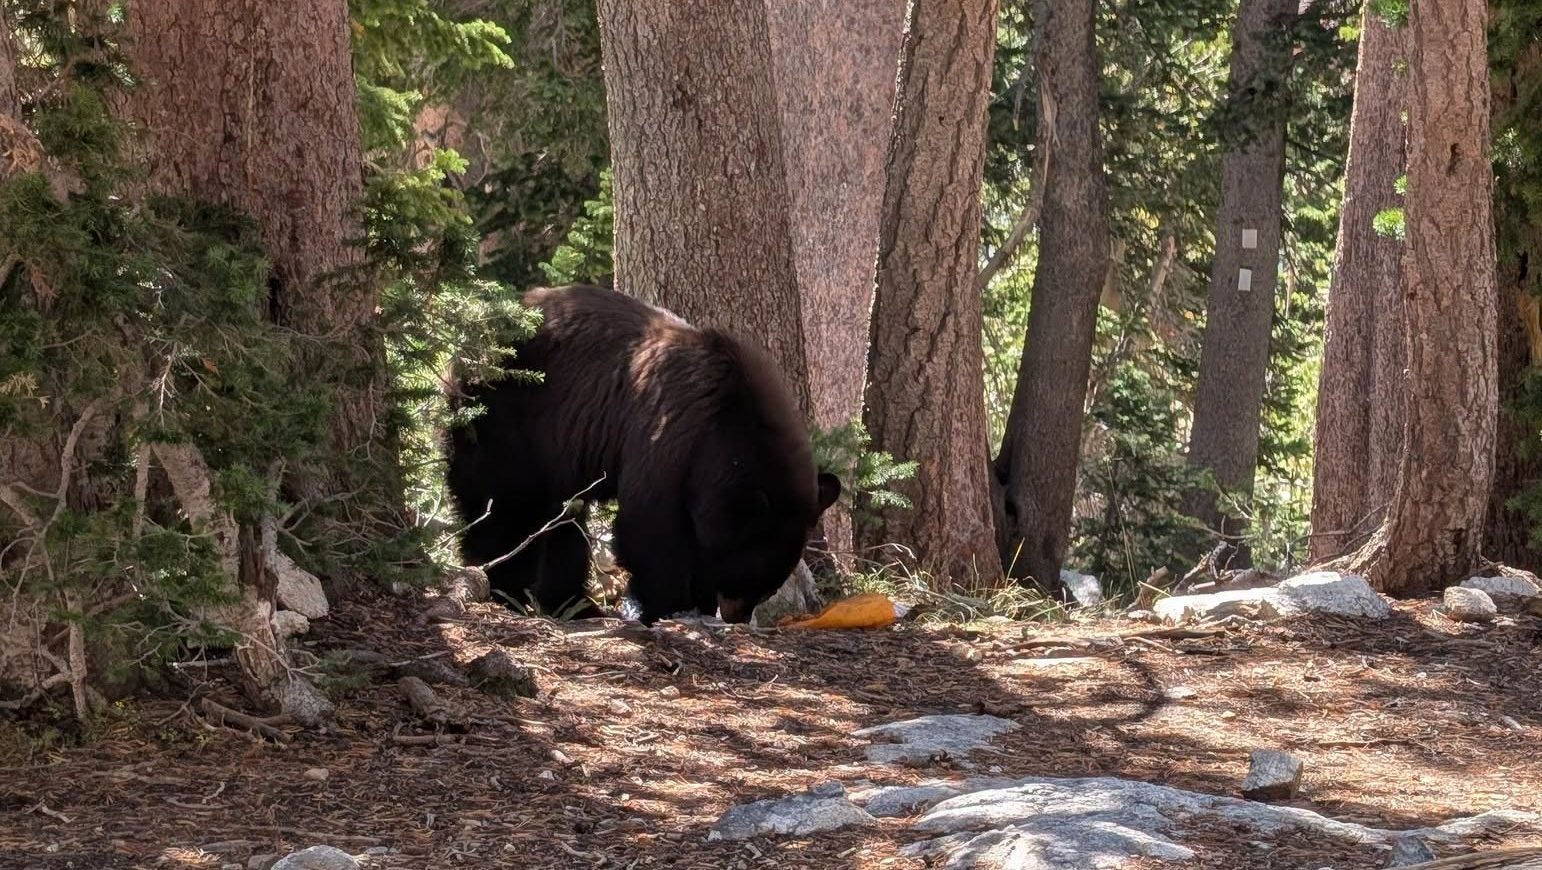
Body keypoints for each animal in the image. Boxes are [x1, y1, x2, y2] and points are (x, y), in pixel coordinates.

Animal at [445, 283, 840, 625]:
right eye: (746, 578)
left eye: (768, 586)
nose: (736, 616)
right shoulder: (669, 437)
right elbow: (649, 525)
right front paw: (669, 605)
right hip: (500, 416)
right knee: (504, 504)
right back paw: (504, 587)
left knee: (565, 520)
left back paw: (574, 604)